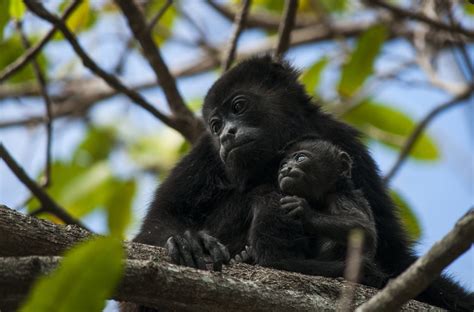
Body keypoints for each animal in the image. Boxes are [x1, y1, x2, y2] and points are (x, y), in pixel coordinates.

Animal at [131, 56, 472, 312]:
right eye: (215, 125)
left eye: (238, 106)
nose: (226, 134)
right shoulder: (205, 152)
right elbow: (157, 222)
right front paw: (188, 242)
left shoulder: (346, 143)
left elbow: (392, 250)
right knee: (266, 193)